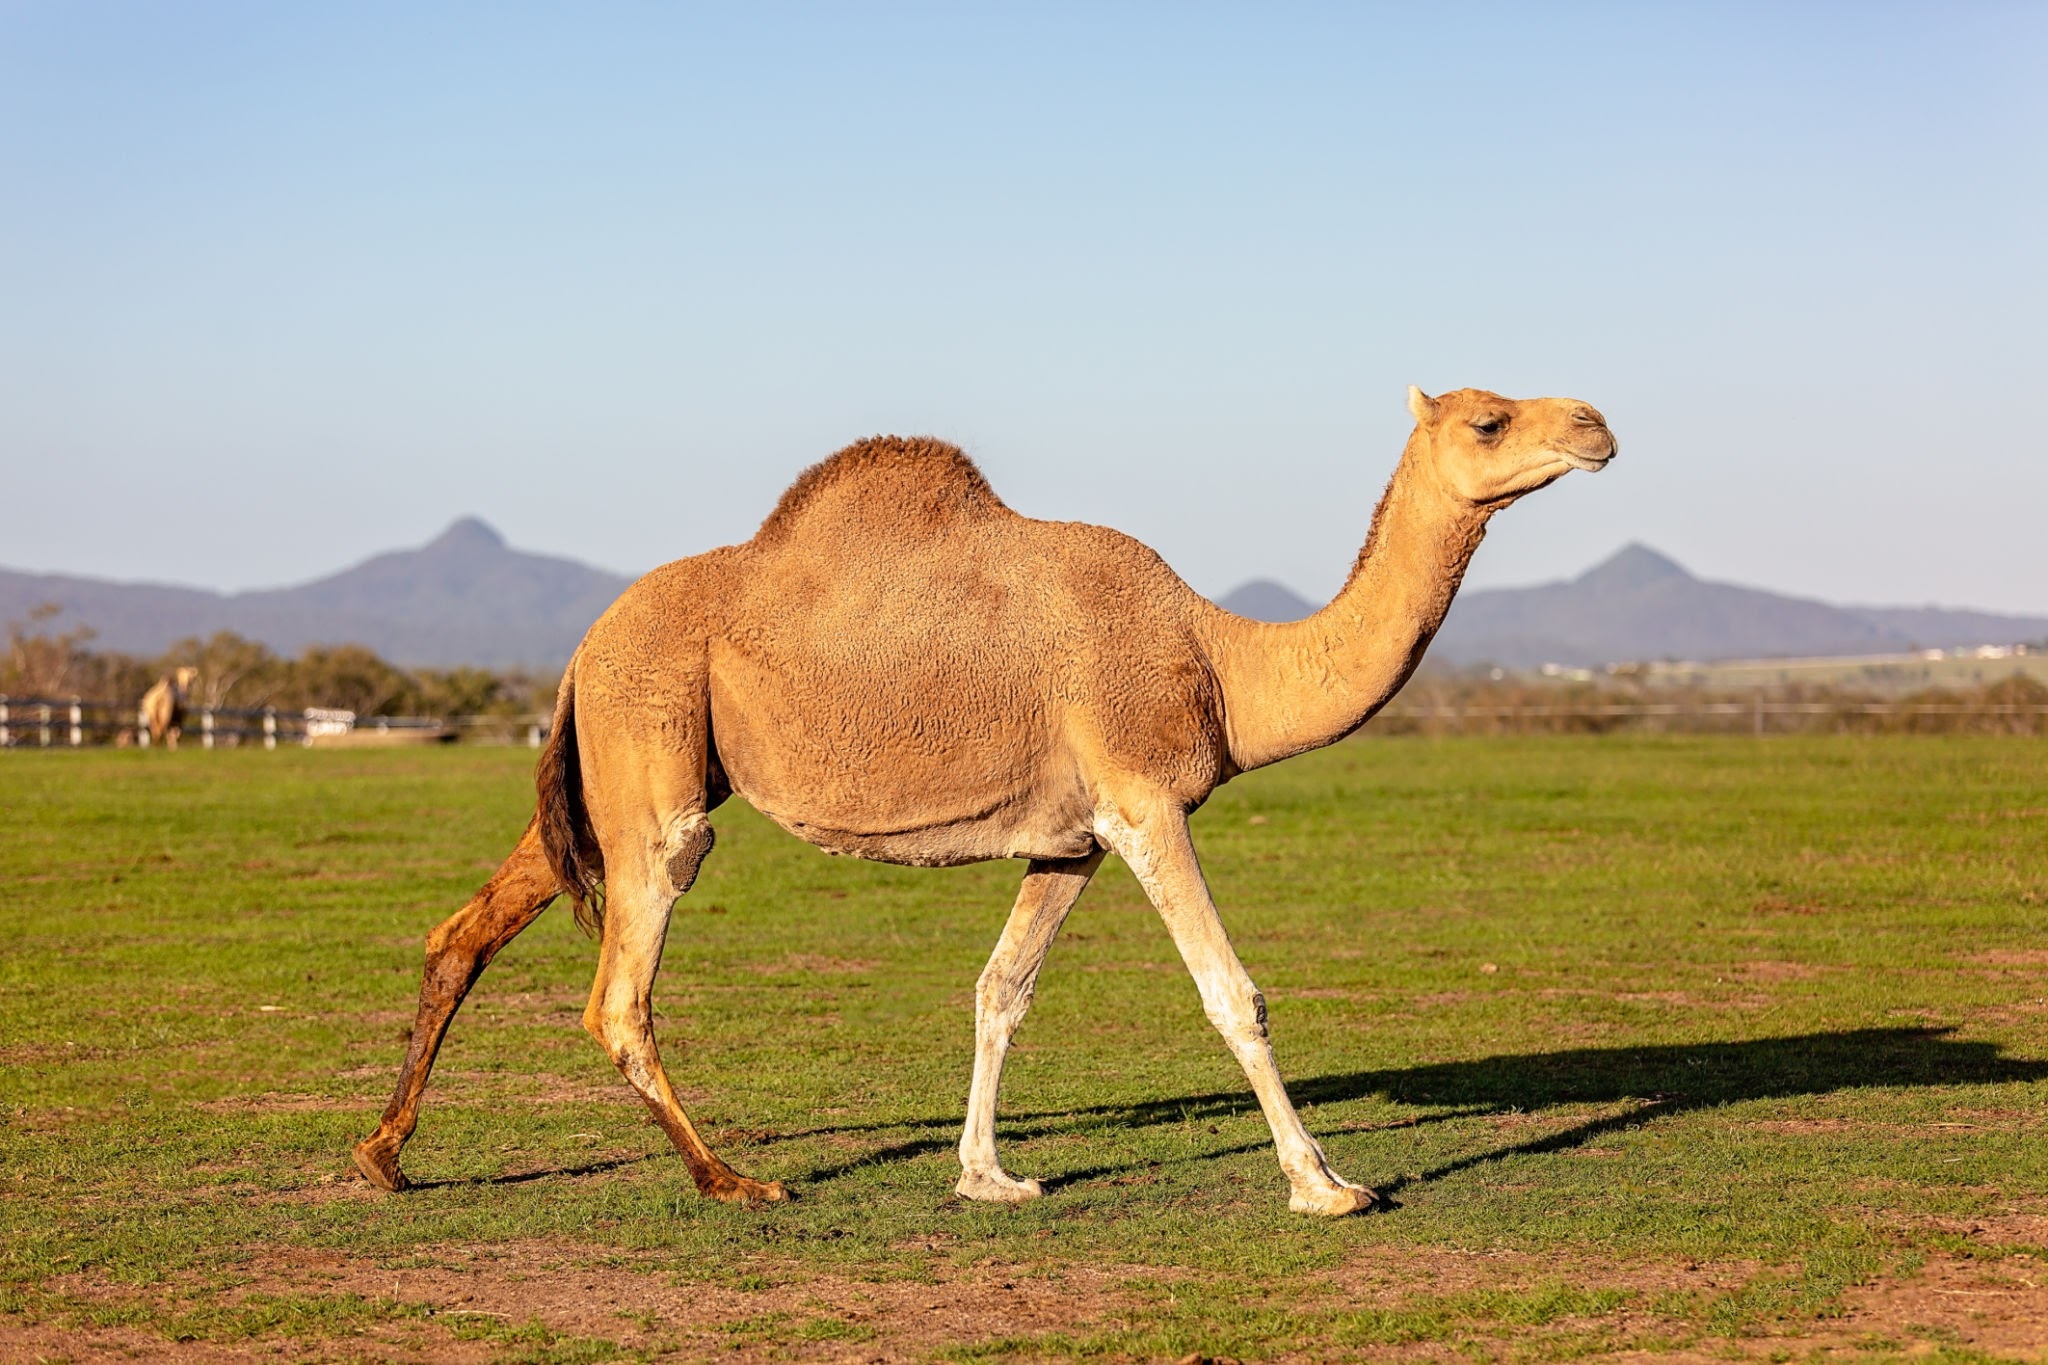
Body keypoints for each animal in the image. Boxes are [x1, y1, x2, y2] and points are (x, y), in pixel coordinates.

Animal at [353, 386, 1616, 1215]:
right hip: (654, 753)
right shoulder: (1145, 802)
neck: (1219, 659)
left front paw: (987, 1175)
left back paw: (383, 1156)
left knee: (462, 932)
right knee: (622, 982)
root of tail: (580, 645)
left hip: (612, 769)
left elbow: (998, 992)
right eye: (1487, 420)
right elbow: (1232, 995)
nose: (1594, 423)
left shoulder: (1074, 840)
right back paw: (731, 1179)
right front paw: (1326, 1185)